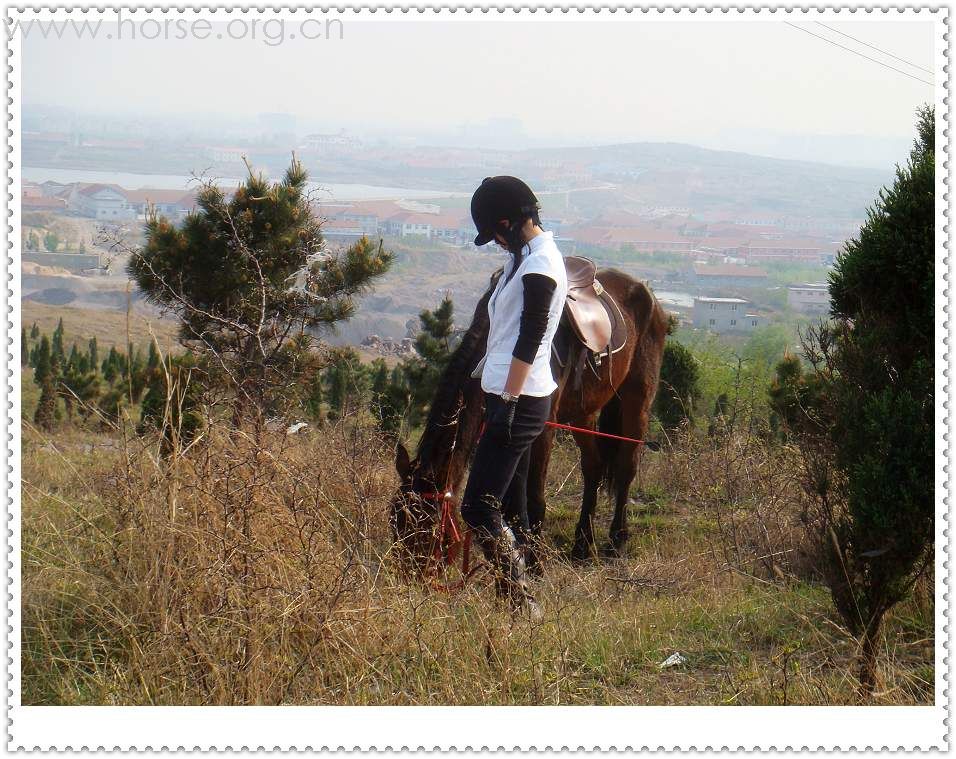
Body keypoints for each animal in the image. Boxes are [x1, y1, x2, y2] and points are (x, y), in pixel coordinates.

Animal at [392, 268, 668, 568]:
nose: (409, 574)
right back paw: (582, 544)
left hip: (637, 401)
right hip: (584, 413)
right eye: (396, 521)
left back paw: (617, 541)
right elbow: (511, 501)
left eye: (425, 526)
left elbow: (534, 498)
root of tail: (646, 294)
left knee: (627, 467)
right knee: (593, 467)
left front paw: (534, 562)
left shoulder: (542, 428)